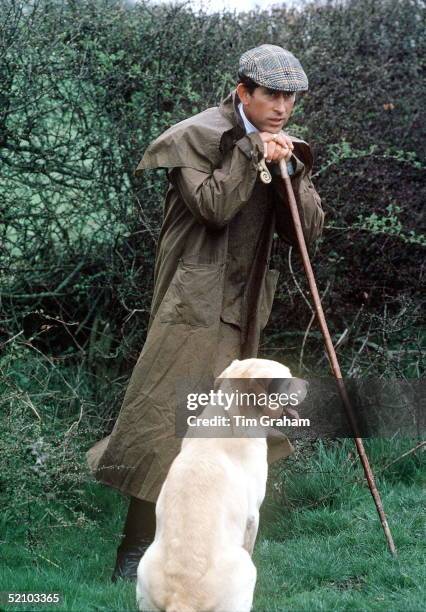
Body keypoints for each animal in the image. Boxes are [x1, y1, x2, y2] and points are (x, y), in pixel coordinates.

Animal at [136, 356, 306, 608]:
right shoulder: (253, 515)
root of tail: (181, 599)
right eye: (286, 377)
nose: (308, 384)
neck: (231, 415)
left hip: (143, 566)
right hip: (247, 568)